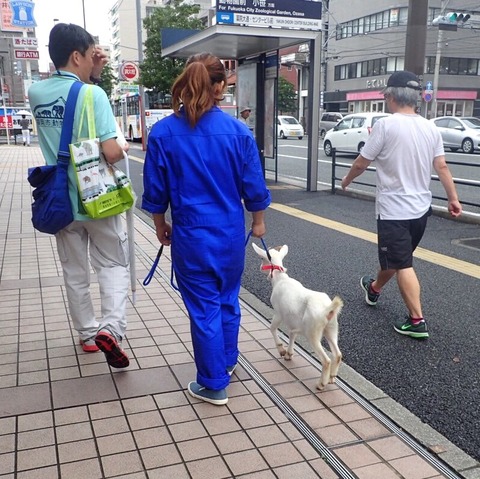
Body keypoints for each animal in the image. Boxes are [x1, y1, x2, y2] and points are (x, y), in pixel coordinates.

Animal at [252, 243, 343, 389]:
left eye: (262, 258)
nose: (260, 268)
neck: (280, 280)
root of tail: (327, 309)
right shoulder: (293, 322)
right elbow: (292, 334)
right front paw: (289, 354)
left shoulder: (278, 313)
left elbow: (272, 328)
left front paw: (281, 350)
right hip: (332, 328)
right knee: (338, 354)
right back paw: (332, 378)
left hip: (313, 332)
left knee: (326, 360)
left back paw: (321, 384)